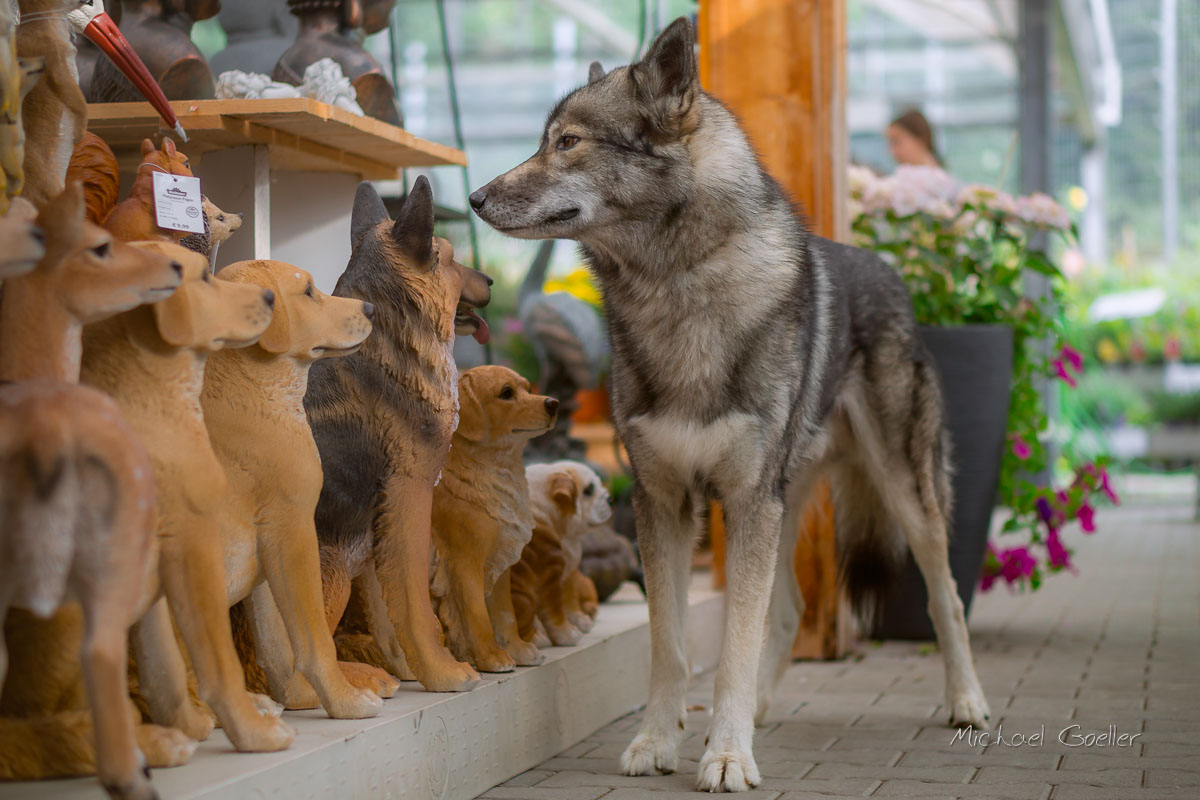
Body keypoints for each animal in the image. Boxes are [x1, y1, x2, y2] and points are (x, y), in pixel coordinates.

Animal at [470, 17, 990, 793]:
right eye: (544, 140)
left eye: (568, 142)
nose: (473, 198)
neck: (675, 287)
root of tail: (887, 270)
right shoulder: (665, 503)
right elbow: (671, 645)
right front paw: (661, 740)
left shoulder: (742, 503)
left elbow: (734, 646)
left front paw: (726, 755)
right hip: (782, 505)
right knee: (792, 612)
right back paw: (761, 712)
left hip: (898, 497)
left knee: (944, 596)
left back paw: (966, 701)